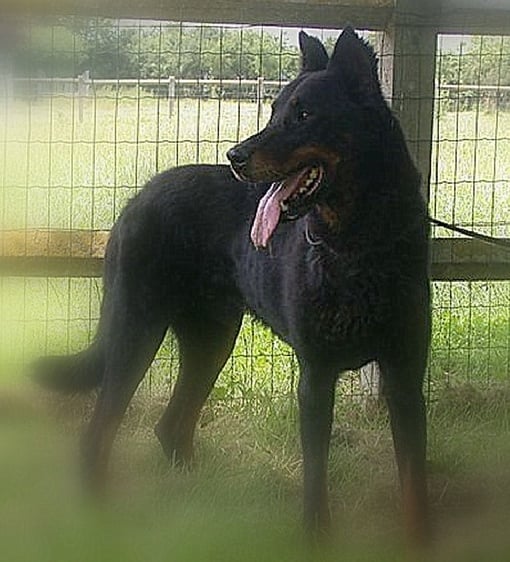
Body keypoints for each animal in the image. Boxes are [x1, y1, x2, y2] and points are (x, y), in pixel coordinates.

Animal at [33, 28, 431, 544]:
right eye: (275, 110)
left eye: (305, 115)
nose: (235, 156)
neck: (358, 246)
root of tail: (142, 194)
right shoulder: (316, 376)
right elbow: (316, 481)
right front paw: (316, 540)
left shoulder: (404, 377)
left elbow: (414, 482)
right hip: (135, 331)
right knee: (98, 433)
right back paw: (98, 519)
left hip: (211, 339)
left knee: (170, 425)